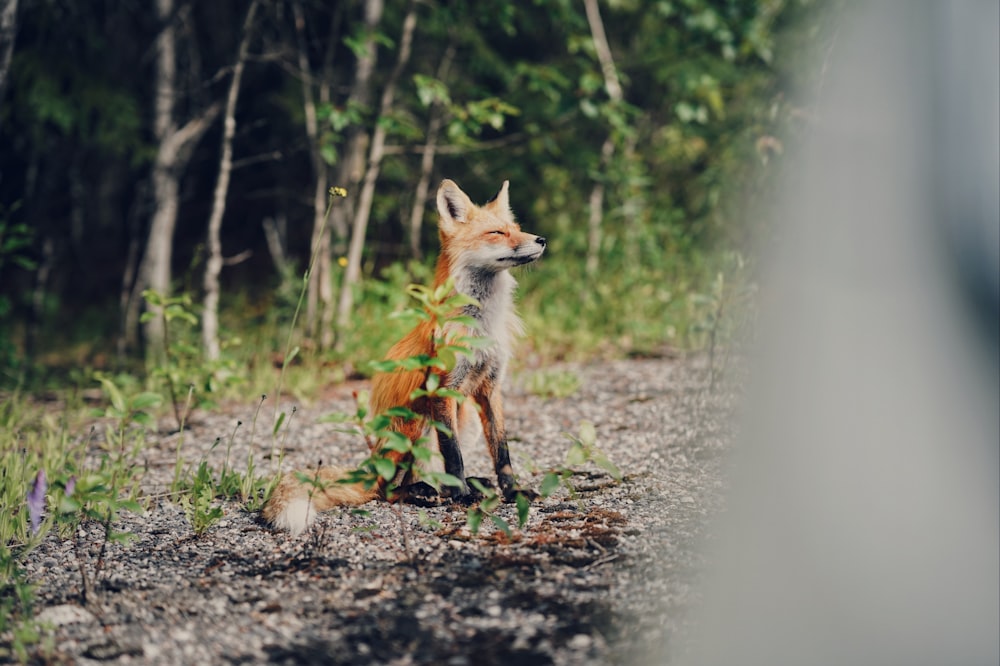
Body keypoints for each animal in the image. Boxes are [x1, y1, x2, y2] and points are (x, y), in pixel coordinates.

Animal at [262, 178, 548, 536]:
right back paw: (425, 492)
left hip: (463, 418)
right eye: (497, 233)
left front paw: (512, 492)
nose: (541, 240)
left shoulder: (490, 390)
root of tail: (372, 465)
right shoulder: (442, 389)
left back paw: (460, 485)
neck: (481, 325)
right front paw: (463, 497)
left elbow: (502, 452)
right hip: (415, 425)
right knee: (388, 489)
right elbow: (453, 456)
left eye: (517, 229)